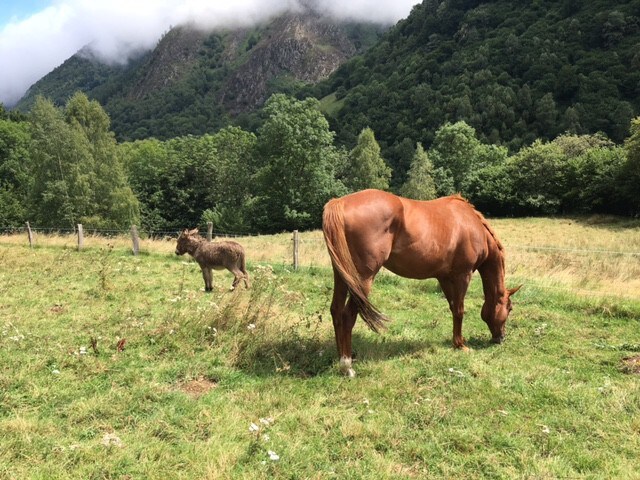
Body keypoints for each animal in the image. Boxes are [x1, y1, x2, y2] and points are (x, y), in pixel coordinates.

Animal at [324, 189, 520, 376]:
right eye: (509, 308)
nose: (501, 338)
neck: (471, 224)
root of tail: (339, 203)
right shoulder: (462, 275)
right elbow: (460, 310)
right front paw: (461, 345)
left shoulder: (444, 278)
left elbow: (453, 308)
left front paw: (456, 342)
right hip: (362, 279)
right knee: (347, 315)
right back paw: (347, 366)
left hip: (342, 274)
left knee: (336, 310)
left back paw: (340, 357)